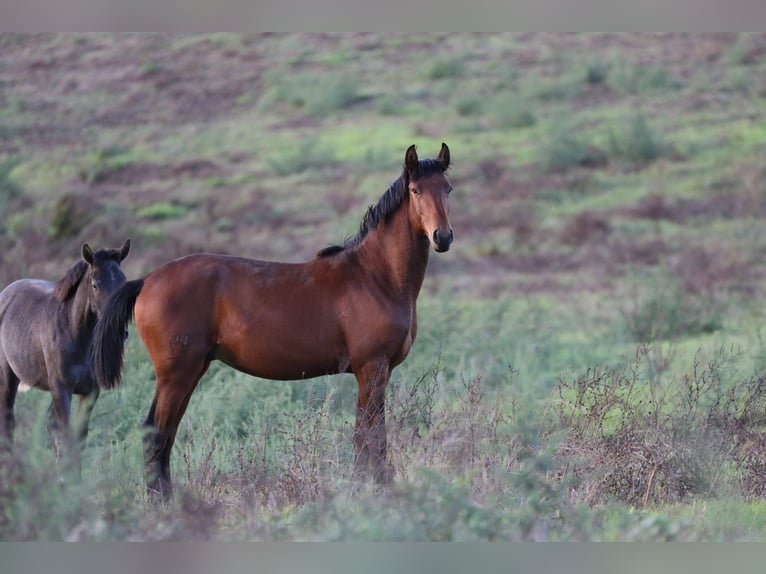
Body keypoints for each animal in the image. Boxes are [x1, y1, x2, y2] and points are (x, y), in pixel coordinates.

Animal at [0, 240, 130, 460]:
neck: (75, 333)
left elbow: (79, 439)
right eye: (95, 285)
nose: (119, 331)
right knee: (8, 422)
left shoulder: (89, 391)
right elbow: (69, 438)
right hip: (8, 378)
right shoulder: (61, 389)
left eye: (124, 282)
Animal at [96, 144, 456, 500]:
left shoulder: (379, 372)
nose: (443, 237)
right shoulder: (371, 369)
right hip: (176, 375)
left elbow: (370, 435)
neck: (374, 276)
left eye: (448, 189)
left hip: (192, 371)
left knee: (165, 432)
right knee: (156, 432)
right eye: (415, 190)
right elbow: (370, 437)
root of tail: (146, 280)